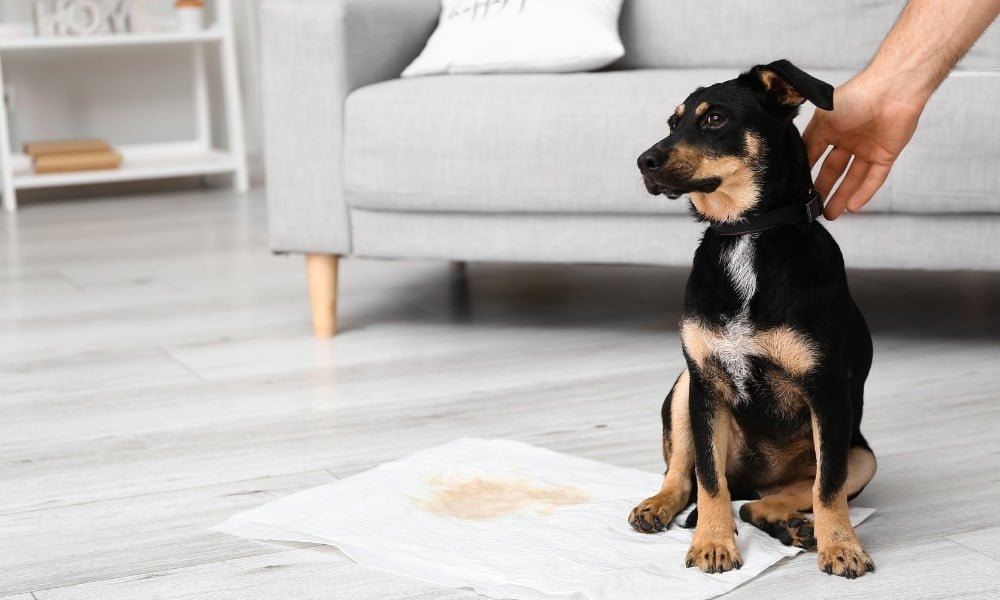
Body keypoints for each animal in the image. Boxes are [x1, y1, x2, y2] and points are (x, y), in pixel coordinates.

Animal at [632, 59, 876, 576]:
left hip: (862, 454)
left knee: (770, 500)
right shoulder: (704, 383)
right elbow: (708, 480)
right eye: (672, 122)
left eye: (714, 119)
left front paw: (841, 547)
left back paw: (795, 526)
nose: (643, 162)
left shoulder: (827, 392)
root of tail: (755, 479)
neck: (745, 231)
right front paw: (712, 544)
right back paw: (658, 506)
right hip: (682, 389)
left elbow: (828, 487)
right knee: (685, 478)